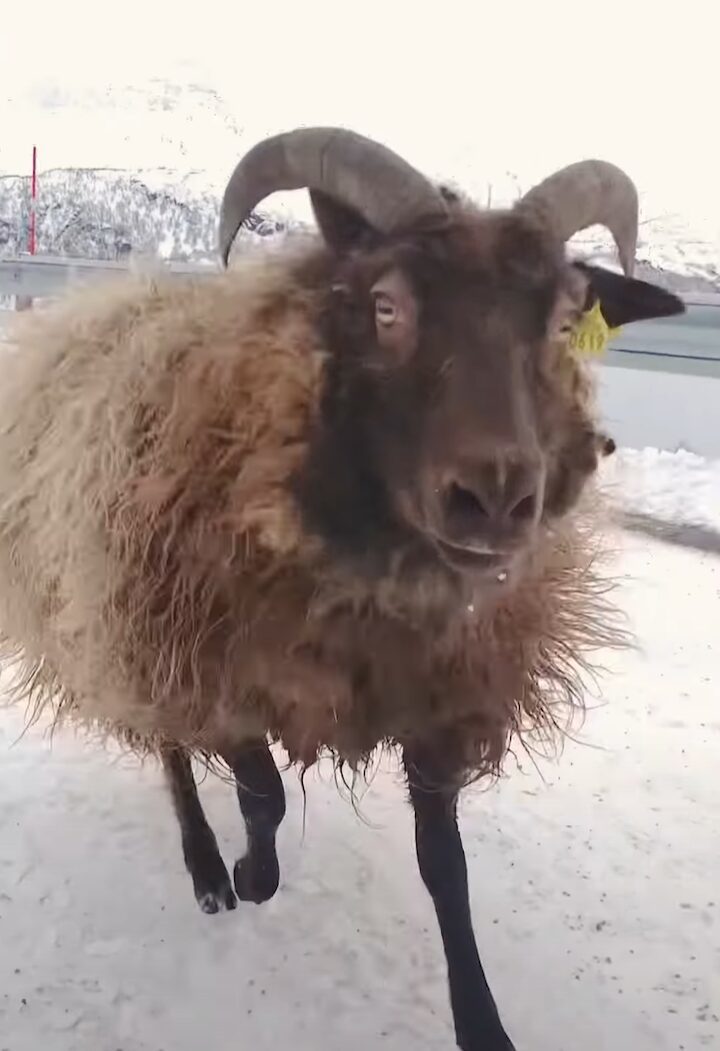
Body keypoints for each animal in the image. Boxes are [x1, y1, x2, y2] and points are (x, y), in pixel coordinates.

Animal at [0, 127, 681, 1046]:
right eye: (386, 306)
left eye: (566, 320)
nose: (497, 498)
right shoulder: (222, 668)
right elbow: (263, 795)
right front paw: (248, 872)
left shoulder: (440, 696)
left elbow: (445, 867)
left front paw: (483, 1021)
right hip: (120, 609)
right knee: (169, 747)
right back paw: (206, 868)